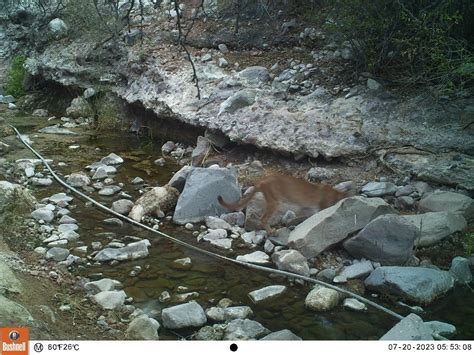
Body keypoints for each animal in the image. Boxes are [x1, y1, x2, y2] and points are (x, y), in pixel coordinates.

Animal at [218, 175, 348, 235]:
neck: (334, 193)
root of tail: (262, 180)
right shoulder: (321, 206)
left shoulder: (308, 209)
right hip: (275, 202)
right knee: (263, 218)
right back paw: (271, 232)